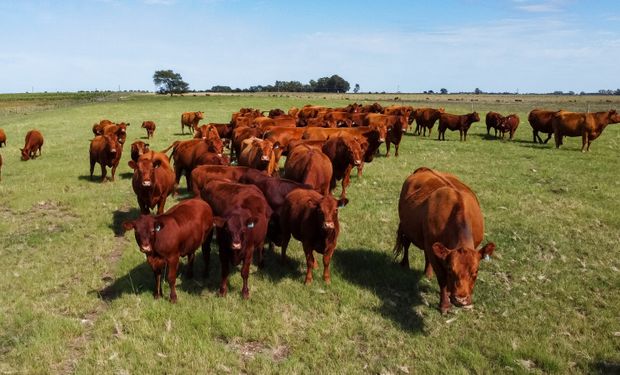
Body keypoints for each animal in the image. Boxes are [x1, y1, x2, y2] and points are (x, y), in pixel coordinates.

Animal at [394, 167, 496, 314]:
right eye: (450, 270)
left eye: (476, 271)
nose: (461, 300)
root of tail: (424, 169)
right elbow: (442, 279)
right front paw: (444, 305)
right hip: (407, 227)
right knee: (406, 245)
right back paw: (405, 264)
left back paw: (428, 273)